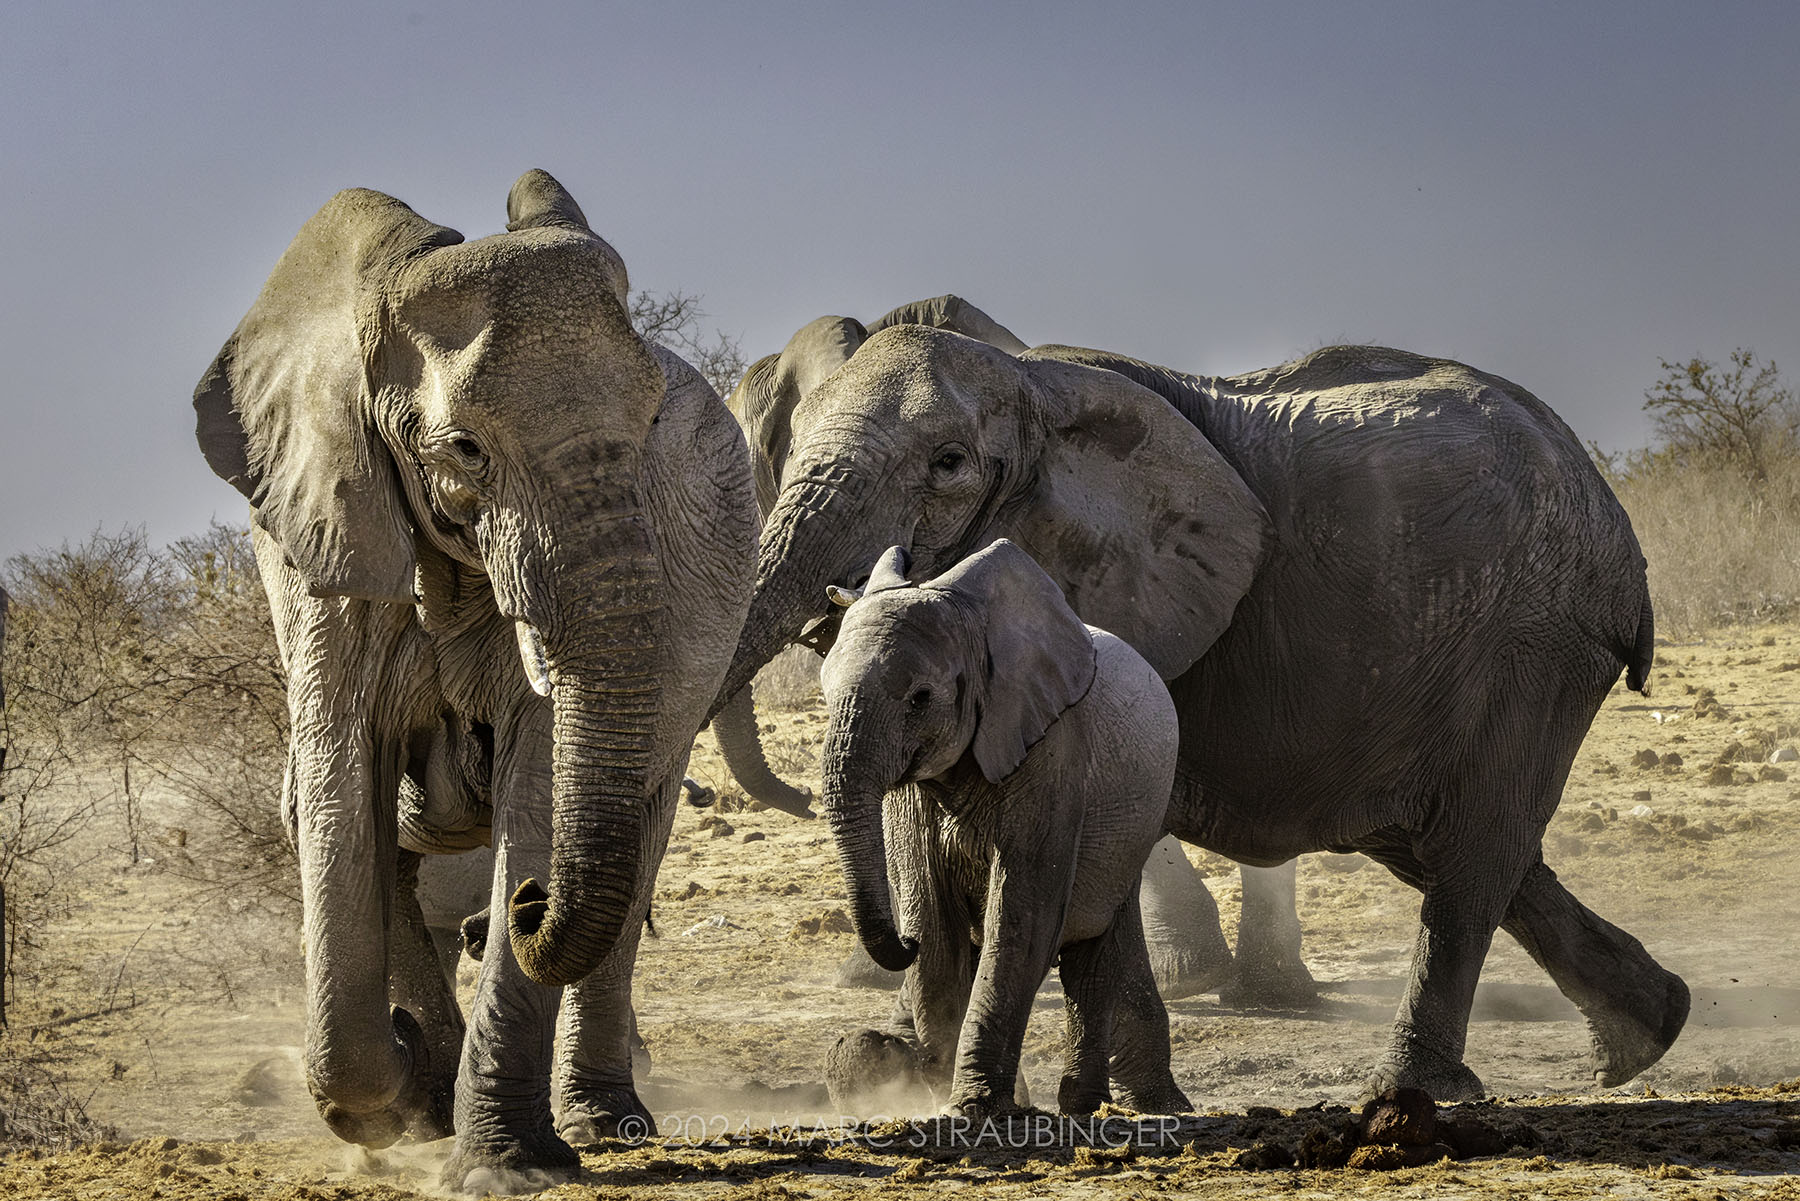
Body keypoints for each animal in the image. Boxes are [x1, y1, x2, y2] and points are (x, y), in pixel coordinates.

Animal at [193, 170, 756, 1186]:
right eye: (465, 449)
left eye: (649, 422)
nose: (531, 903)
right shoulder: (321, 539)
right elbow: (343, 787)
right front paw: (404, 1093)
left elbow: (536, 780)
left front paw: (507, 1168)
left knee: (637, 846)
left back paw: (602, 1120)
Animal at [818, 541, 1191, 1119]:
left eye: (921, 697)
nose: (901, 938)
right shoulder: (912, 795)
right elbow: (937, 928)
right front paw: (955, 1096)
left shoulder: (1053, 756)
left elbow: (1020, 920)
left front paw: (975, 1109)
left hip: (1133, 825)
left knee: (1092, 945)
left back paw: (1086, 1106)